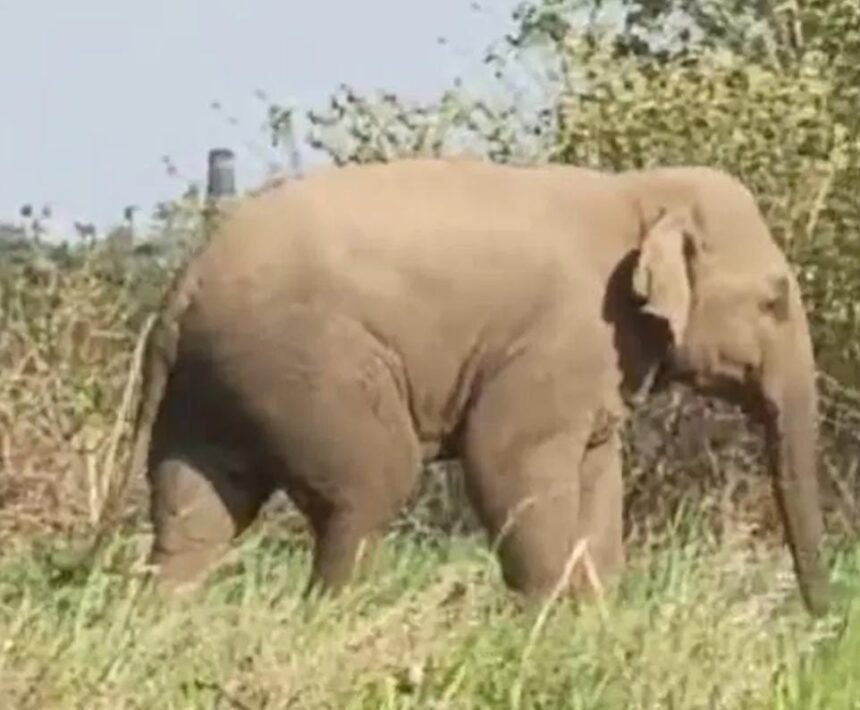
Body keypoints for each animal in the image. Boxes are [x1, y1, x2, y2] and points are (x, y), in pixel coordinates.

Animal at [128, 157, 829, 616]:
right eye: (774, 301)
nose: (821, 626)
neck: (639, 192)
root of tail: (185, 284)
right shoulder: (562, 337)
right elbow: (505, 460)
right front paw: (547, 623)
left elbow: (597, 479)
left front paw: (594, 619)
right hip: (310, 367)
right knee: (364, 494)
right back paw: (333, 618)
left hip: (216, 384)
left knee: (196, 513)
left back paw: (167, 621)